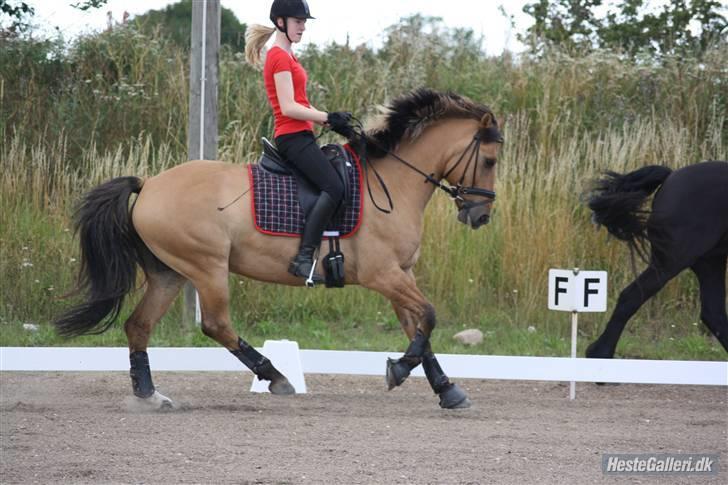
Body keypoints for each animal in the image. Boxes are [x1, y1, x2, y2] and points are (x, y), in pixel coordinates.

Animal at [57, 90, 504, 408]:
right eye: (490, 160)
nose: (480, 216)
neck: (394, 183)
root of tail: (149, 184)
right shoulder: (383, 275)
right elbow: (429, 316)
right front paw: (400, 370)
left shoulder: (401, 274)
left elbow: (419, 328)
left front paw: (446, 389)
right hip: (206, 266)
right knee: (215, 324)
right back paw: (275, 377)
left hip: (170, 272)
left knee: (139, 326)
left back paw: (149, 395)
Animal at [584, 161, 728, 358]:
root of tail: (671, 176)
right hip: (671, 261)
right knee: (631, 296)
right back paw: (600, 352)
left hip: (710, 261)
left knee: (714, 314)